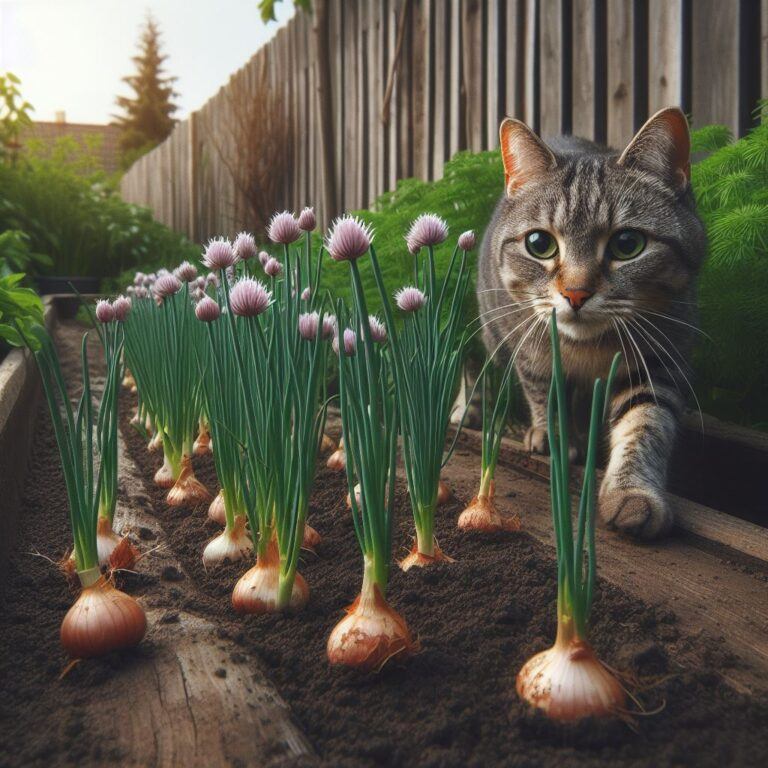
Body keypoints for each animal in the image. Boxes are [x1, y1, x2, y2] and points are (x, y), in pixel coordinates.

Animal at [480, 108, 708, 540]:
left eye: (627, 244)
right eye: (539, 244)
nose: (576, 293)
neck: (588, 348)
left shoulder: (658, 362)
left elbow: (644, 425)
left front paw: (632, 493)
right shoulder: (530, 349)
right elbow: (546, 392)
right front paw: (552, 435)